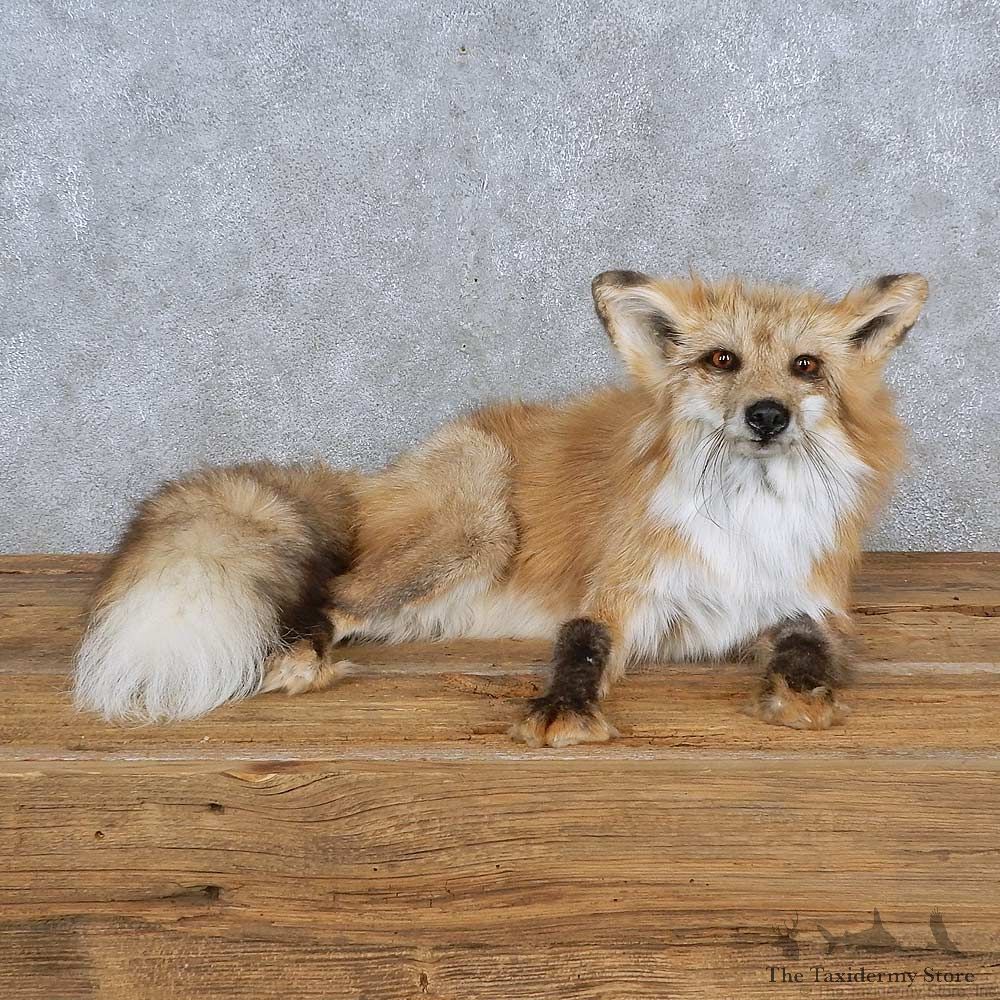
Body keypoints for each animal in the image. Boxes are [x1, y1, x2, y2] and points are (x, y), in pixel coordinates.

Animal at [74, 269, 928, 747]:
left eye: (805, 368)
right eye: (724, 360)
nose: (767, 415)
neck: (744, 526)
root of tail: (385, 472)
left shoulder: (808, 602)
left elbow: (807, 652)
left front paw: (804, 698)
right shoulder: (619, 592)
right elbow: (581, 645)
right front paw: (561, 708)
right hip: (476, 532)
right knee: (333, 593)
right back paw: (297, 658)